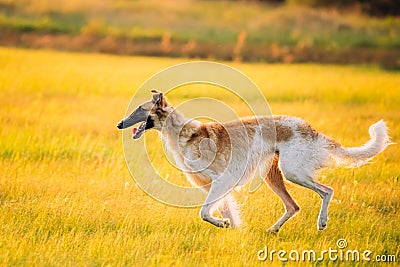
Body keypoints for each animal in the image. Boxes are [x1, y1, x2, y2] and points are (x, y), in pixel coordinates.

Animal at [116, 90, 390, 232]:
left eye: (140, 109)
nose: (119, 124)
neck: (186, 134)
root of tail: (311, 129)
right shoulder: (210, 186)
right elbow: (221, 211)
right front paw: (231, 226)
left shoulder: (222, 180)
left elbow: (204, 213)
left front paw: (223, 224)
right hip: (273, 174)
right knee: (293, 206)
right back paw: (273, 230)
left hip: (293, 171)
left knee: (327, 190)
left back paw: (322, 222)